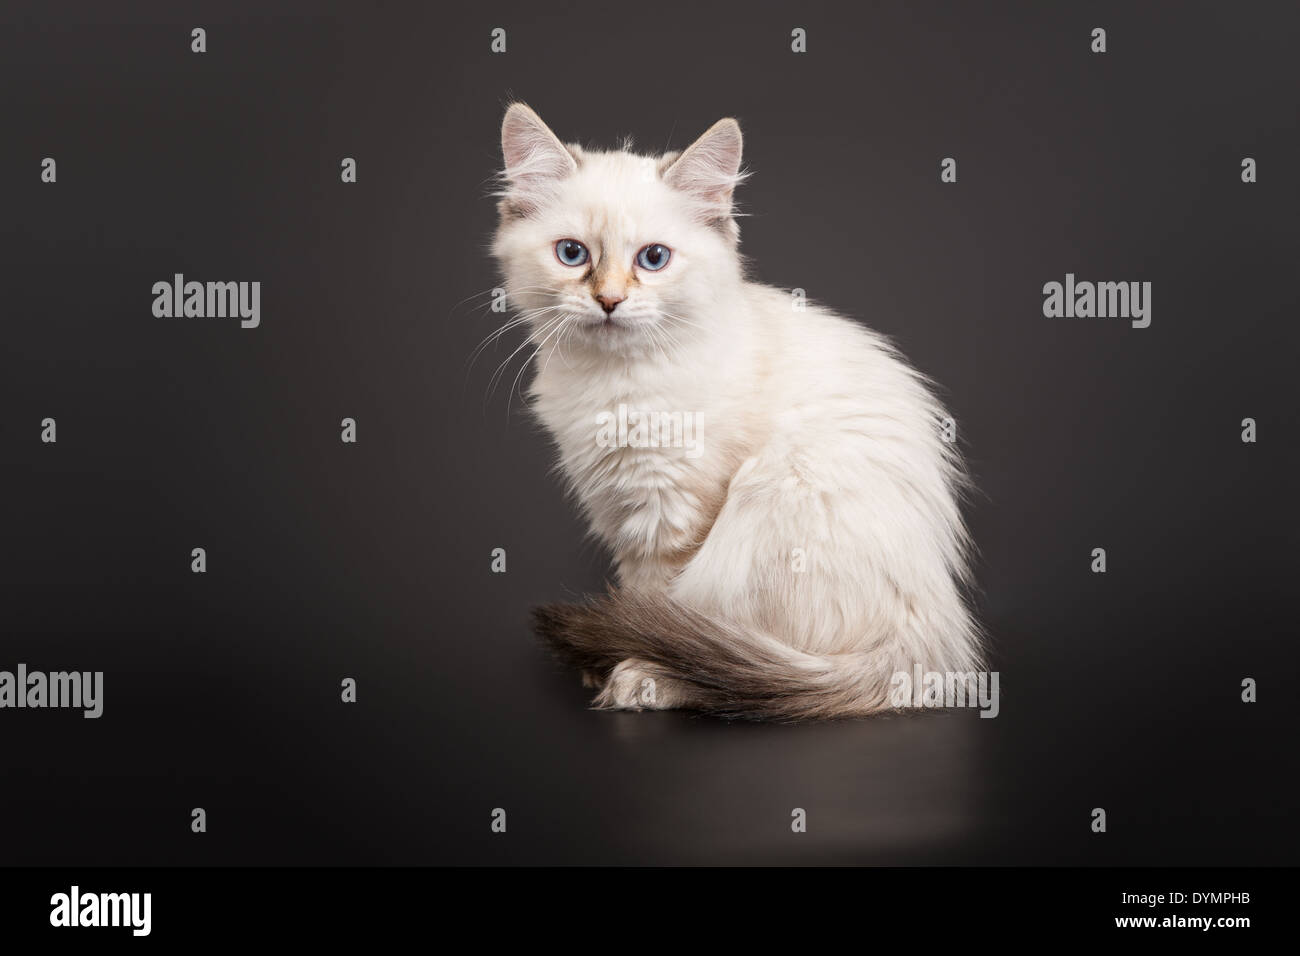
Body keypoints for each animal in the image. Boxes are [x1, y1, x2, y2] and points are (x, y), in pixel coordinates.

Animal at [491, 104, 977, 717]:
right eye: (572, 254)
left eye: (653, 259)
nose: (609, 301)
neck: (614, 383)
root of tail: (931, 636)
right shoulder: (620, 509)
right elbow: (636, 603)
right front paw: (605, 654)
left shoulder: (671, 515)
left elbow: (658, 612)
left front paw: (628, 662)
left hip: (765, 510)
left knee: (741, 658)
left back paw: (647, 678)